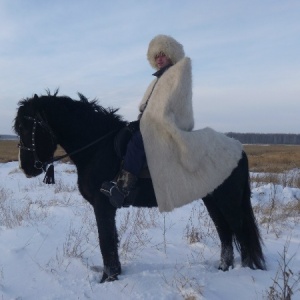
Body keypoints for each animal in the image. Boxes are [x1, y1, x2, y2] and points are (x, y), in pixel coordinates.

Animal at [13, 92, 264, 284]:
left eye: (27, 128)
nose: (26, 168)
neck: (97, 148)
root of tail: (239, 148)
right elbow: (111, 240)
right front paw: (114, 274)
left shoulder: (103, 206)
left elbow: (105, 241)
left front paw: (108, 278)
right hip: (211, 200)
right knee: (225, 233)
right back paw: (223, 269)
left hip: (228, 201)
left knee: (240, 232)